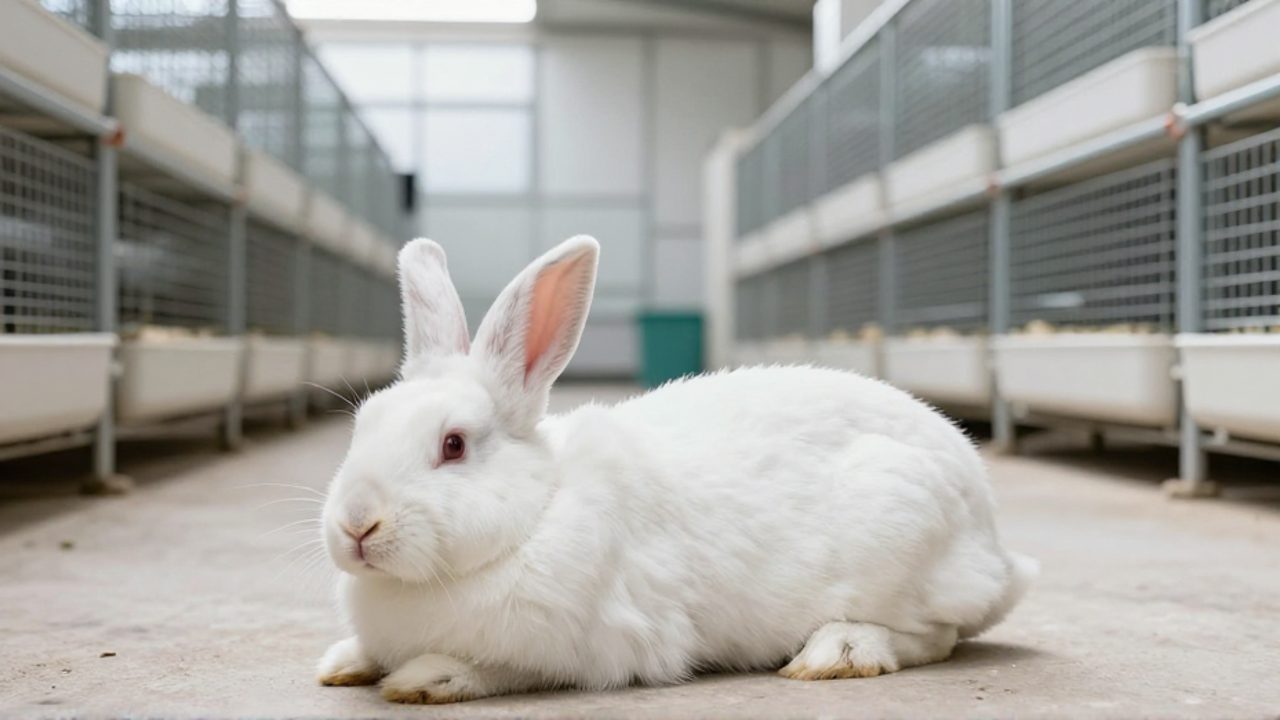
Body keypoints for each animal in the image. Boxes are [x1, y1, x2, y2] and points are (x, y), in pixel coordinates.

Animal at [316, 235, 1037, 704]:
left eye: (454, 445)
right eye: (364, 423)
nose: (356, 525)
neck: (536, 514)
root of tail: (995, 542)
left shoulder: (581, 649)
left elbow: (497, 668)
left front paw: (426, 677)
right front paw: (342, 662)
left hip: (899, 533)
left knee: (933, 636)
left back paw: (836, 654)